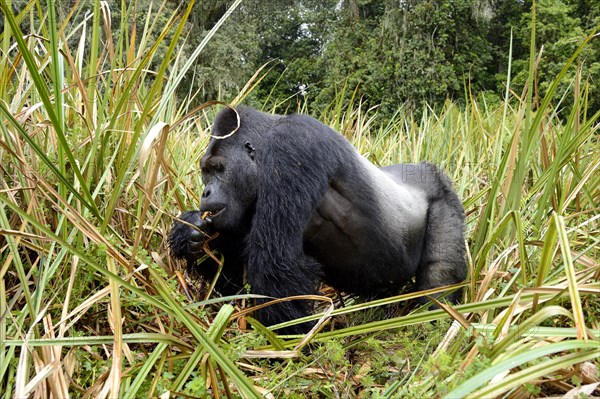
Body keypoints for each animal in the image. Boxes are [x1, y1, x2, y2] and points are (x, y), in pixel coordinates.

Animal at [166, 106, 466, 334]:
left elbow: (275, 262)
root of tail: (427, 169)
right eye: (205, 172)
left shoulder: (294, 145)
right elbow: (229, 267)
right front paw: (190, 234)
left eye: (218, 169)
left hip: (444, 195)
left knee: (439, 275)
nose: (205, 192)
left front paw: (284, 340)